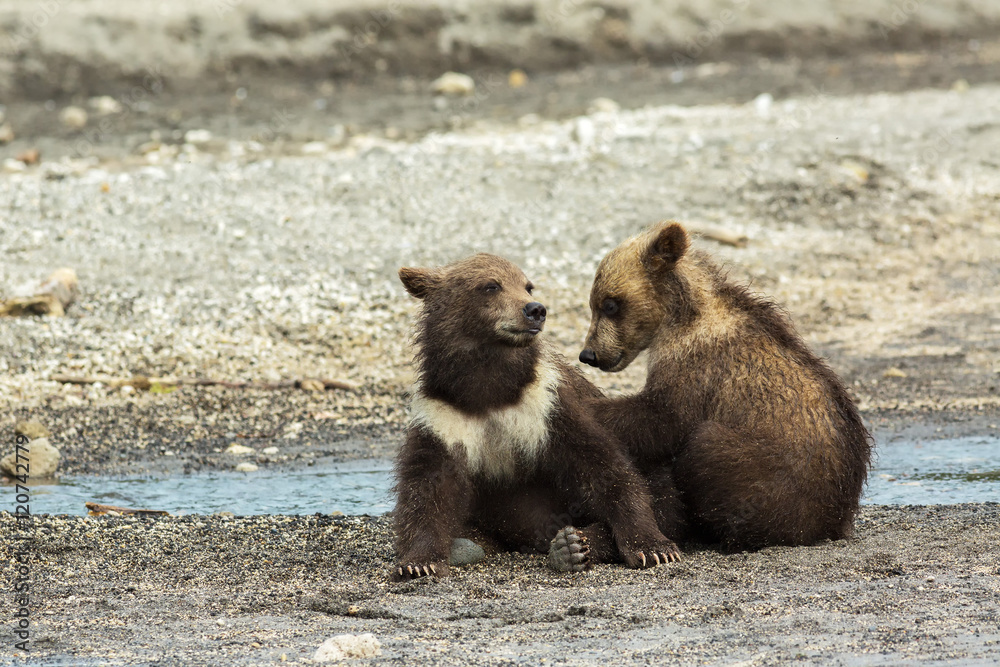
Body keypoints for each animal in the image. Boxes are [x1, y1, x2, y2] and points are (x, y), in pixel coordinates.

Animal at [392, 253, 682, 580]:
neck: (488, 390)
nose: (535, 309)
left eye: (527, 285)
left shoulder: (547, 406)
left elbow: (604, 467)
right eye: (491, 285)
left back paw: (573, 545)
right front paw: (418, 562)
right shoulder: (443, 416)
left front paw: (652, 546)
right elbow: (427, 488)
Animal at [577, 222, 872, 551]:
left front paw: (587, 405)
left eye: (610, 304)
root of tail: (836, 519)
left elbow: (663, 419)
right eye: (594, 303)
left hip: (773, 476)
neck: (678, 314)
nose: (589, 354)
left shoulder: (696, 364)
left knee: (707, 448)